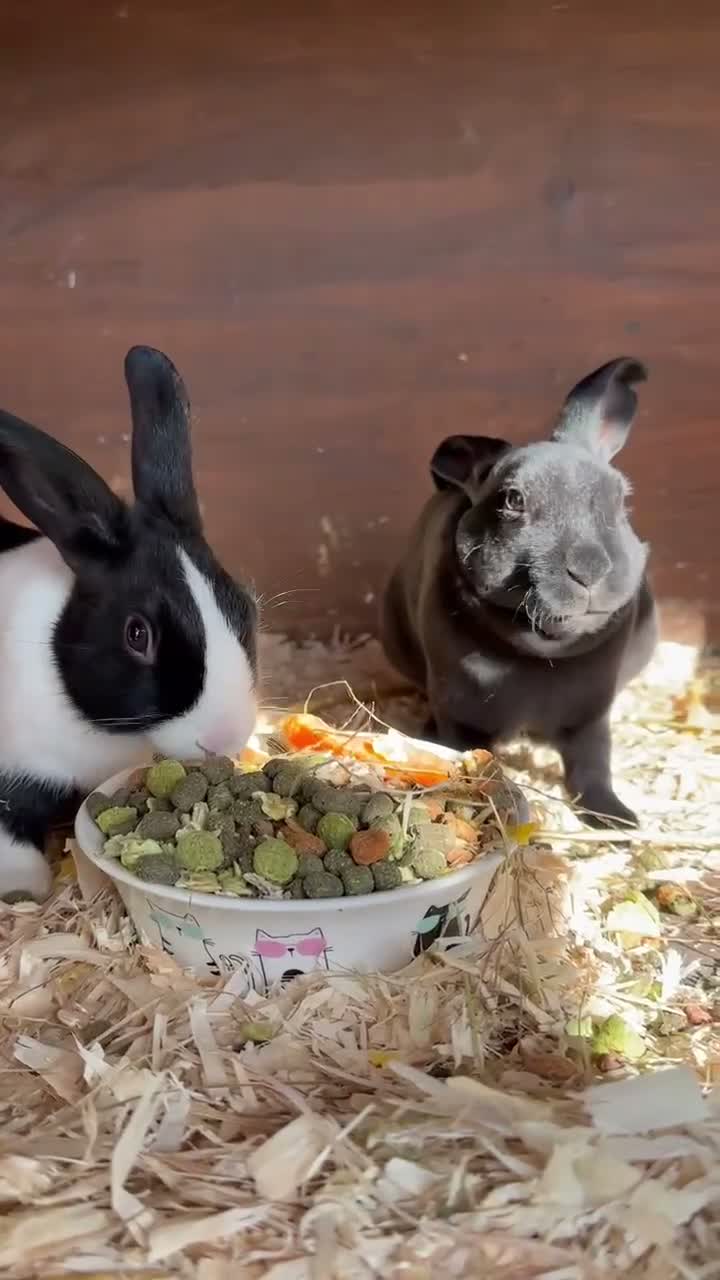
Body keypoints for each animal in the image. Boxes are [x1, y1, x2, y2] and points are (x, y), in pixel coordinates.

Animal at [381, 357, 658, 828]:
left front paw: (618, 820)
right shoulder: (463, 715)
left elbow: (592, 767)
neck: (543, 651)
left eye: (621, 499)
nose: (589, 569)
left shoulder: (590, 720)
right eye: (513, 500)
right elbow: (477, 760)